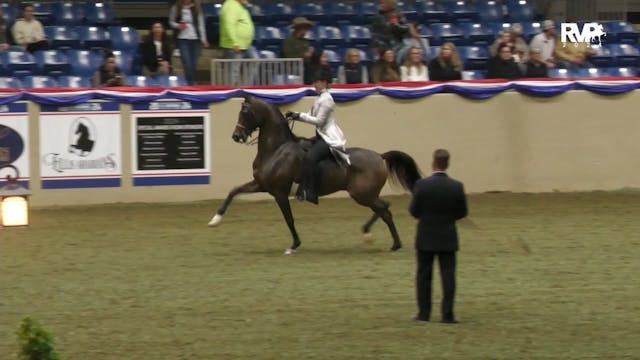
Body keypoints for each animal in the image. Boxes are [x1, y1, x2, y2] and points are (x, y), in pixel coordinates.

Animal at [208, 95, 422, 253]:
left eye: (245, 113)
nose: (236, 136)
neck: (277, 150)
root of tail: (379, 156)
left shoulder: (279, 193)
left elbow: (289, 219)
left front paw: (294, 246)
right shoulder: (261, 185)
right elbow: (234, 191)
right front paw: (215, 220)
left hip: (362, 194)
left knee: (385, 210)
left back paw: (386, 241)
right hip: (366, 195)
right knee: (385, 207)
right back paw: (377, 237)